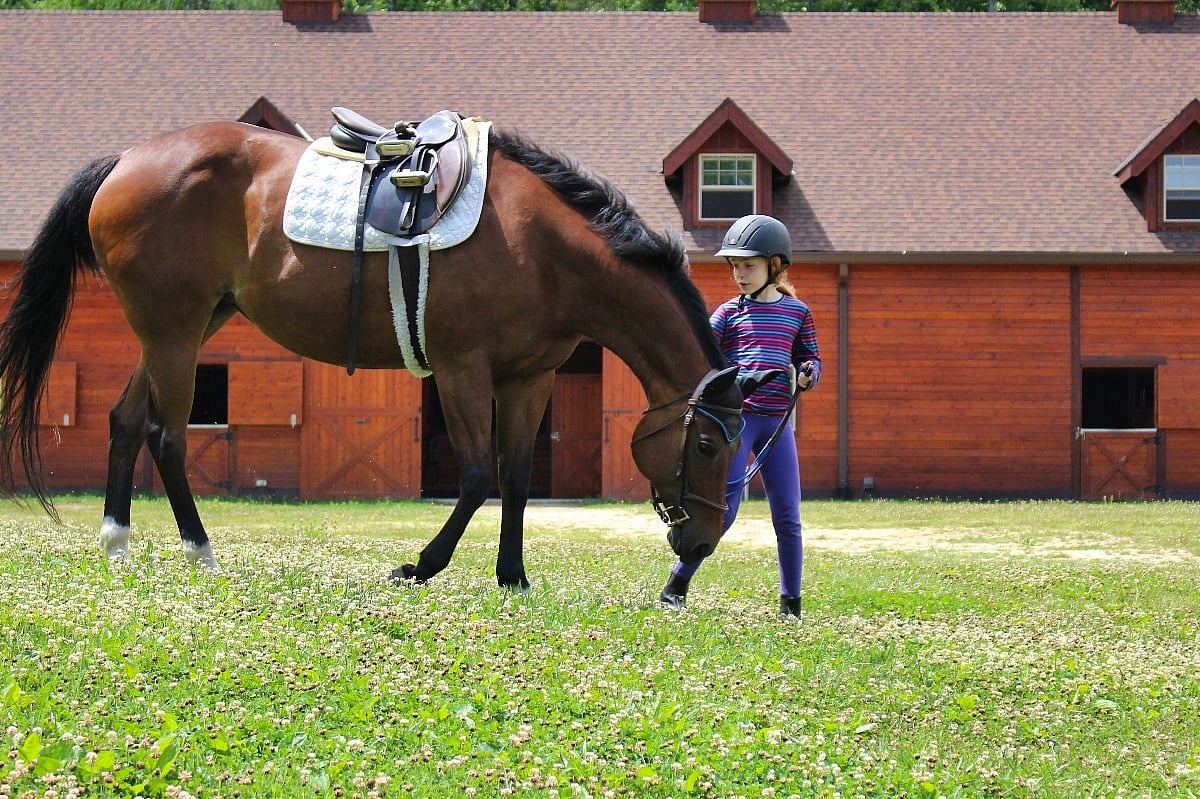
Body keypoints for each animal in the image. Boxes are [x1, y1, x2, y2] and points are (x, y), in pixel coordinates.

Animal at [0, 118, 746, 590]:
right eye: (709, 445)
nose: (703, 543)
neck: (543, 248)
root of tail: (126, 159)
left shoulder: (529, 378)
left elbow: (515, 478)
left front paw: (513, 575)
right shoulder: (462, 368)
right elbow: (477, 476)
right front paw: (421, 565)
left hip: (180, 328)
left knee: (127, 422)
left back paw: (117, 540)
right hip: (176, 331)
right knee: (167, 436)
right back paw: (200, 551)